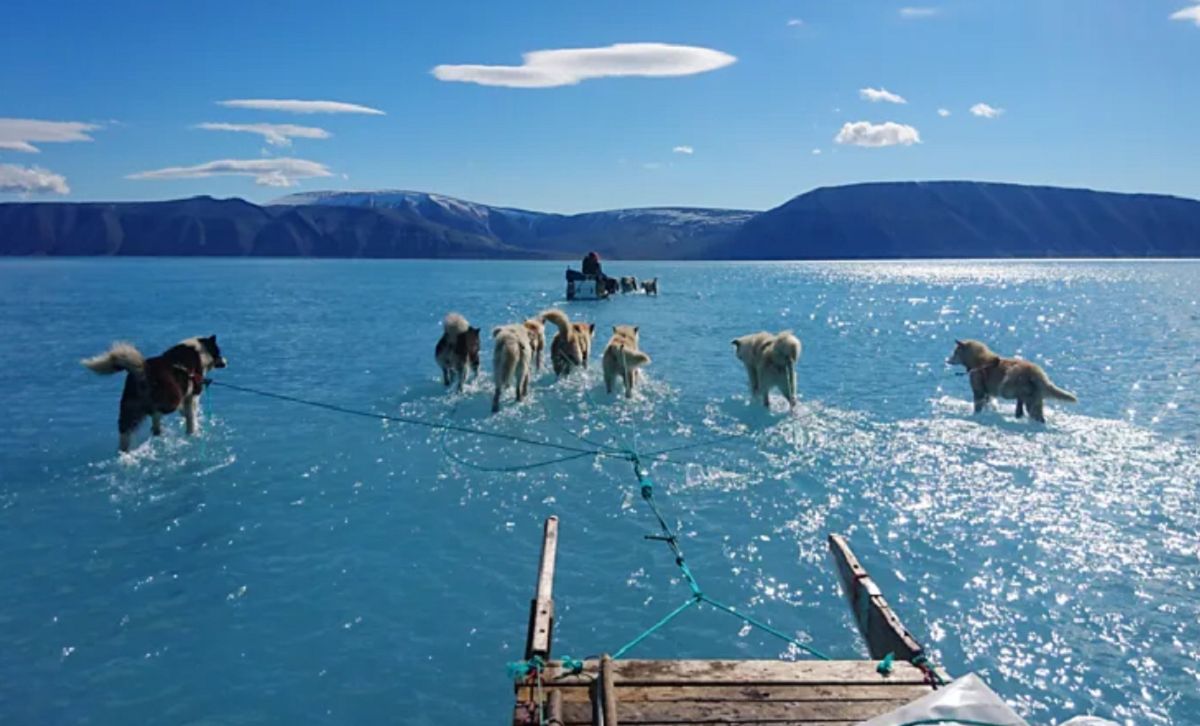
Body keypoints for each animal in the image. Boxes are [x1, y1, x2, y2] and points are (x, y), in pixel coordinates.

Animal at [83, 336, 228, 451]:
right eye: (218, 352)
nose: (226, 361)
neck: (199, 350)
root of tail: (143, 370)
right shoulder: (193, 394)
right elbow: (191, 415)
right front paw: (192, 430)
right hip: (172, 397)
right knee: (158, 411)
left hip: (129, 408)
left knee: (126, 430)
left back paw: (126, 450)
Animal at [945, 338, 1080, 422]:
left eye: (955, 352)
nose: (947, 360)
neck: (979, 360)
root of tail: (1037, 373)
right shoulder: (987, 392)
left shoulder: (979, 390)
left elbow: (978, 404)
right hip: (1035, 397)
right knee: (1035, 412)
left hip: (1014, 386)